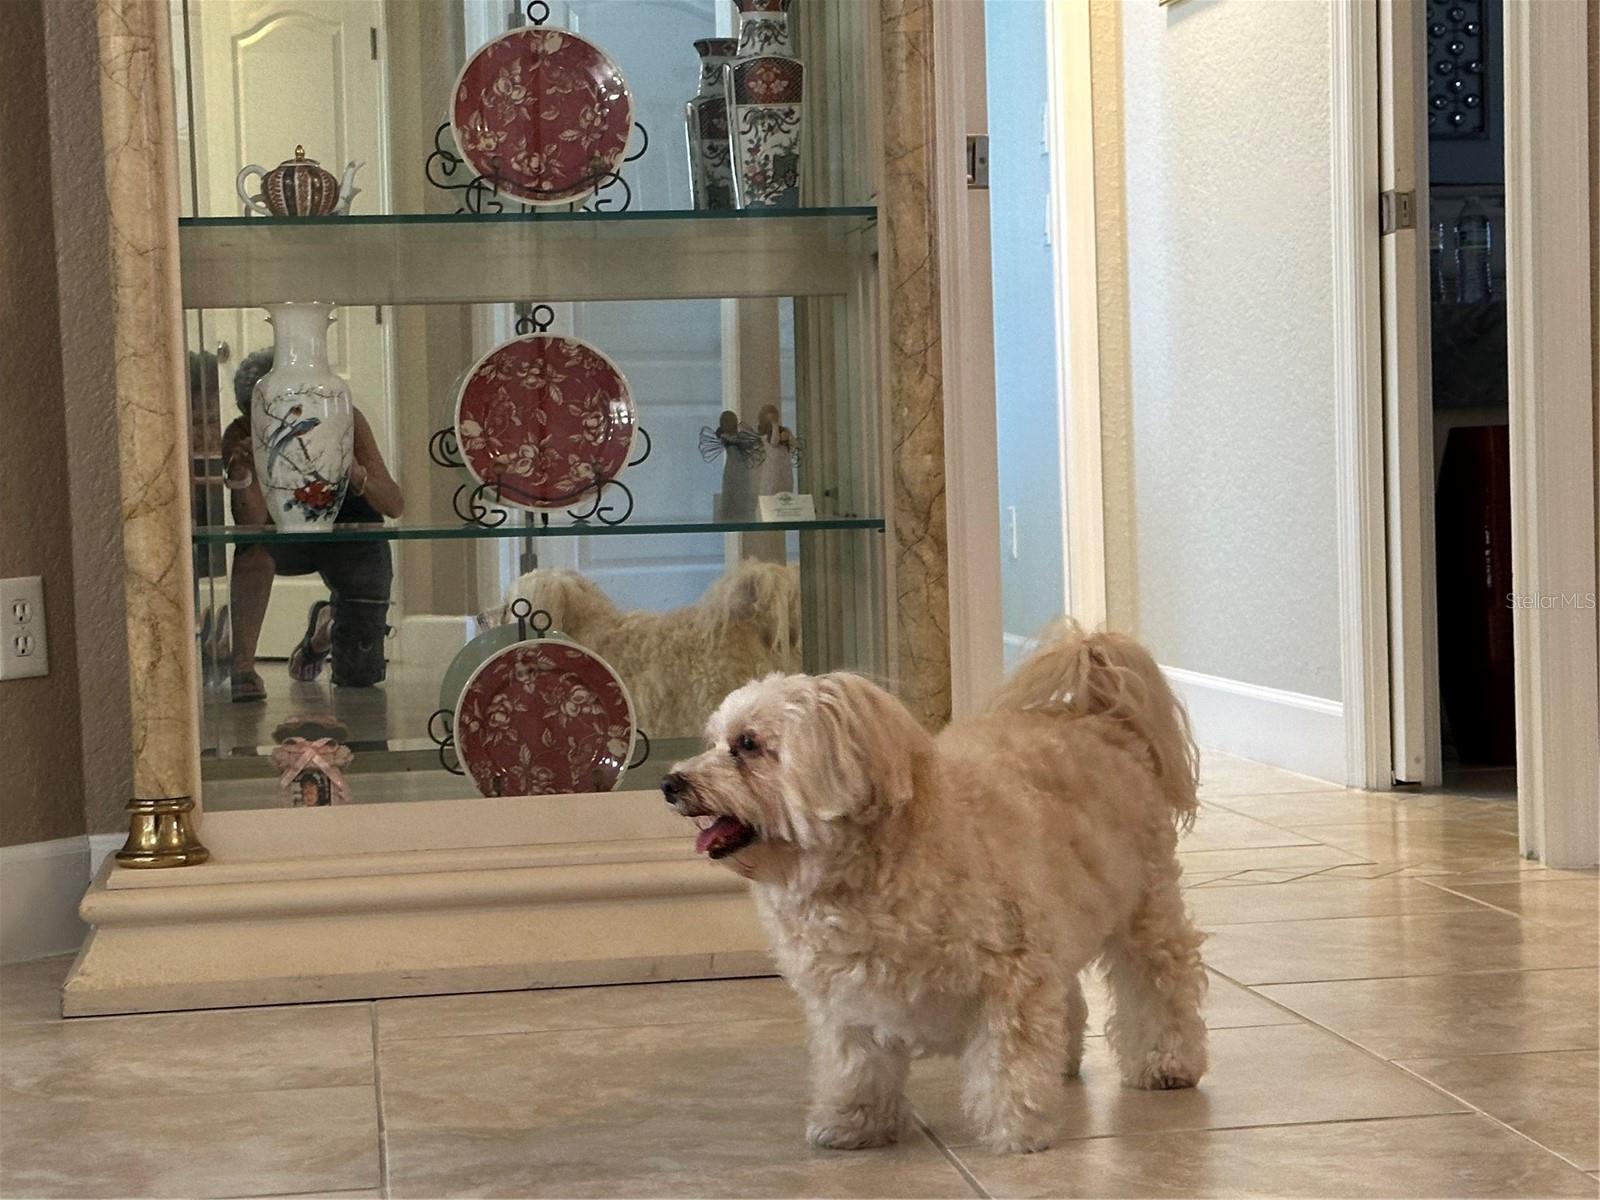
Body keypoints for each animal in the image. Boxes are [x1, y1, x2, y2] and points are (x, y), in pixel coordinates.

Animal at [661, 621, 1208, 1154]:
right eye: (714, 741)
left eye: (748, 744)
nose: (670, 783)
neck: (869, 872)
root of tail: (1101, 716)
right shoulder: (847, 999)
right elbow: (855, 1062)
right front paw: (855, 1122)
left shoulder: (1012, 977)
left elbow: (1008, 1061)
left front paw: (1016, 1128)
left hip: (1145, 907)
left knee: (1160, 981)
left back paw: (1167, 1060)